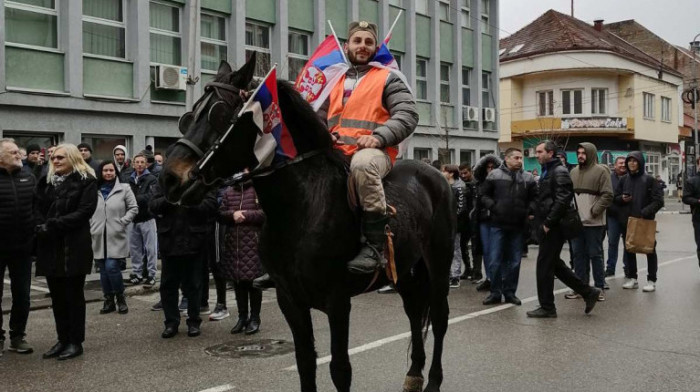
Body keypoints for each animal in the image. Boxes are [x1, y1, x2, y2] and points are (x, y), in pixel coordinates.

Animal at [159, 56, 454, 392]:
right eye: (190, 114)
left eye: (219, 113)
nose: (170, 178)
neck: (301, 208)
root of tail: (435, 176)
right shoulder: (290, 300)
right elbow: (305, 362)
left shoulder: (338, 302)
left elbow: (340, 369)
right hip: (403, 269)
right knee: (415, 312)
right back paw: (414, 374)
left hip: (438, 262)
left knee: (439, 318)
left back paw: (433, 381)